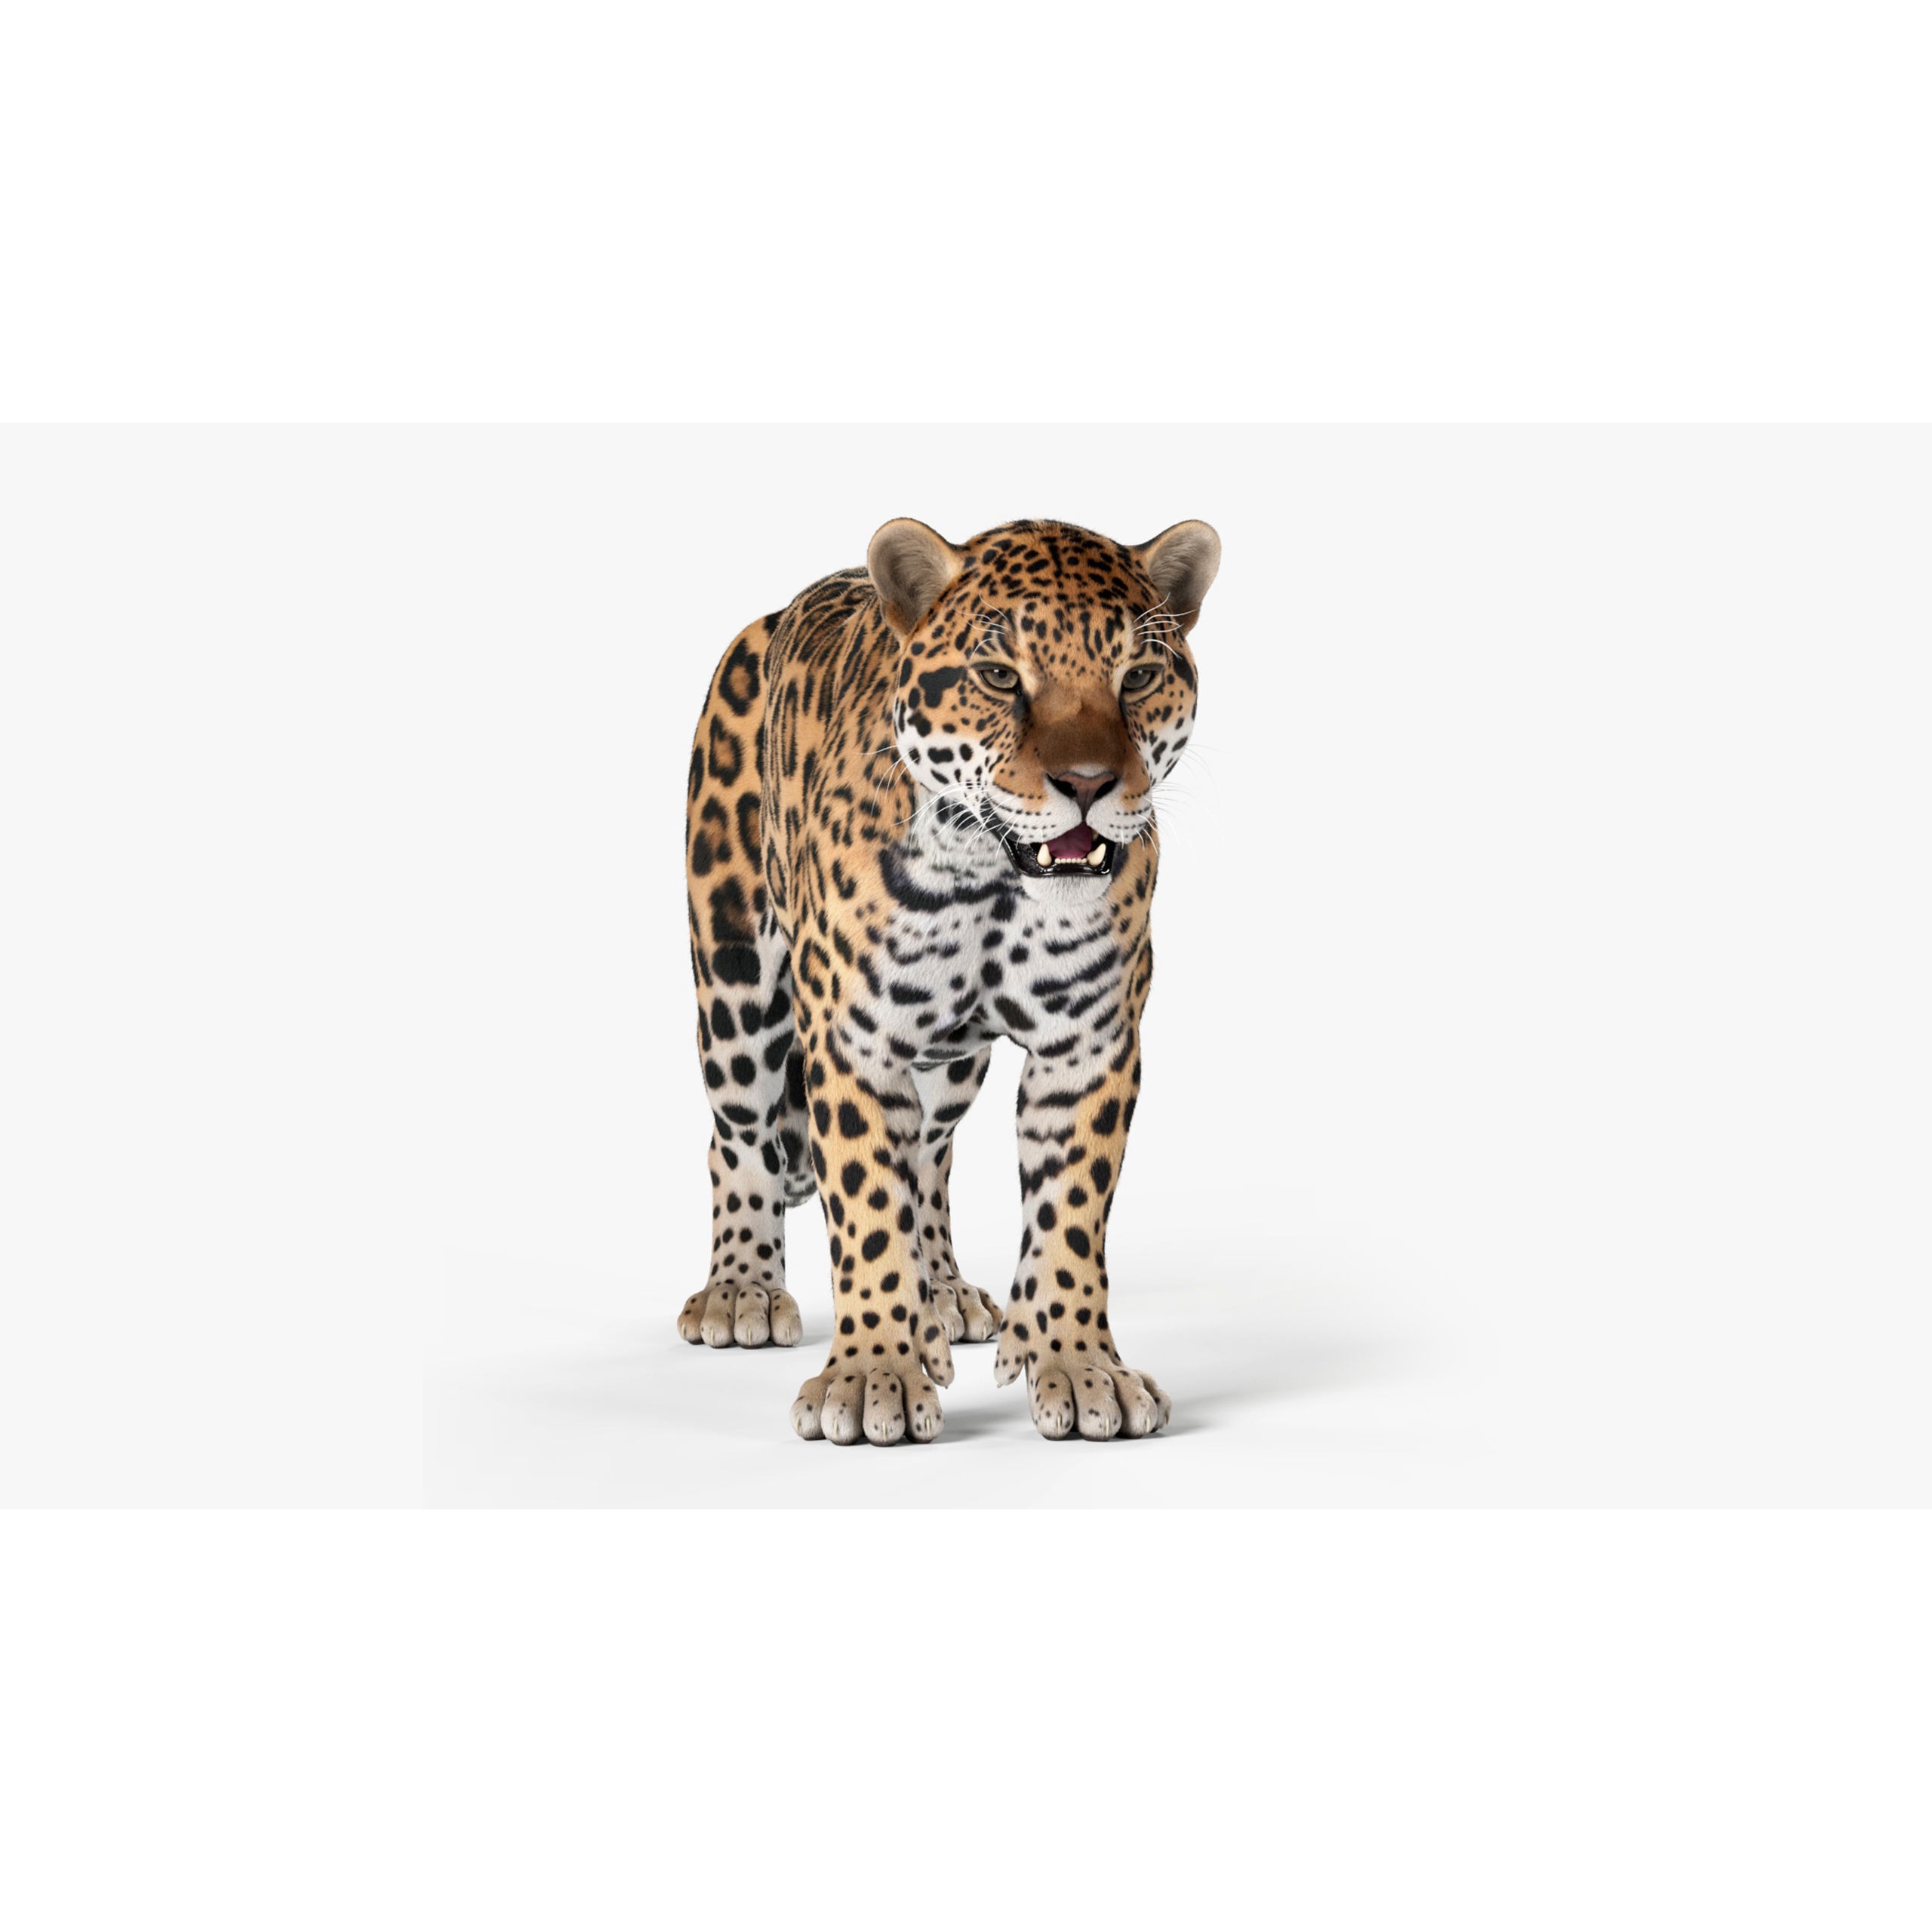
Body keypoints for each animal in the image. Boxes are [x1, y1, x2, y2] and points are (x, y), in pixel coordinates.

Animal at [677, 516, 1219, 1444]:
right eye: (1000, 677)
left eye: (1138, 676)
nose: (1087, 785)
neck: (990, 879)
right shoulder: (853, 1041)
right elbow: (865, 1209)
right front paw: (872, 1375)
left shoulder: (1091, 1045)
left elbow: (1070, 1214)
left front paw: (1081, 1365)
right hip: (735, 977)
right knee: (740, 1135)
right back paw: (741, 1288)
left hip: (953, 1061)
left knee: (930, 1155)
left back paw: (943, 1295)